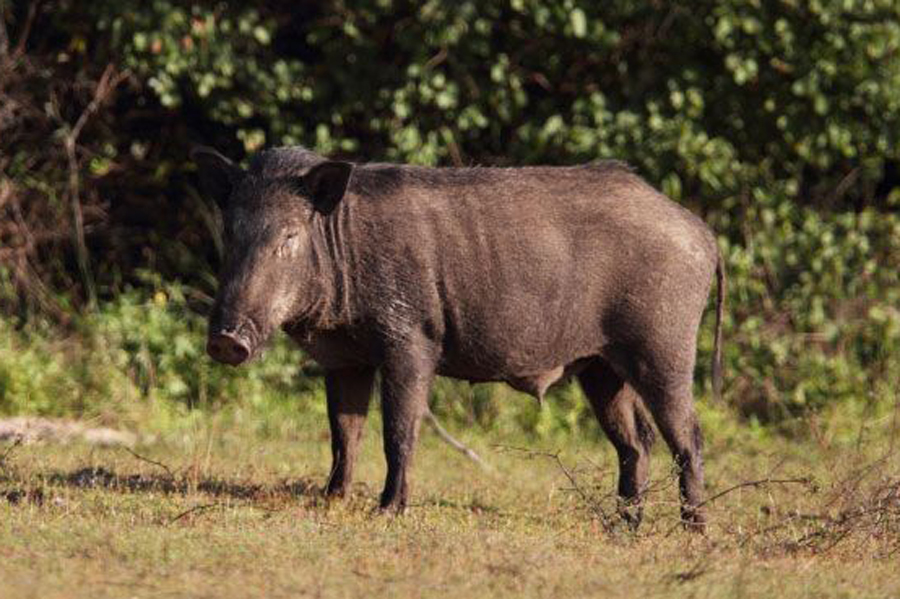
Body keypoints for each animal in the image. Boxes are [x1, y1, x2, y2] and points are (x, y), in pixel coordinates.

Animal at [193, 145, 725, 529]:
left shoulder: (412, 339)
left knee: (688, 436)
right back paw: (624, 525)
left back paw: (693, 529)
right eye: (232, 232)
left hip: (664, 346)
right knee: (637, 440)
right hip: (600, 366)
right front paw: (331, 501)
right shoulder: (345, 358)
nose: (225, 340)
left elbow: (398, 430)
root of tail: (704, 234)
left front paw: (386, 512)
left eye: (289, 236)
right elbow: (344, 432)